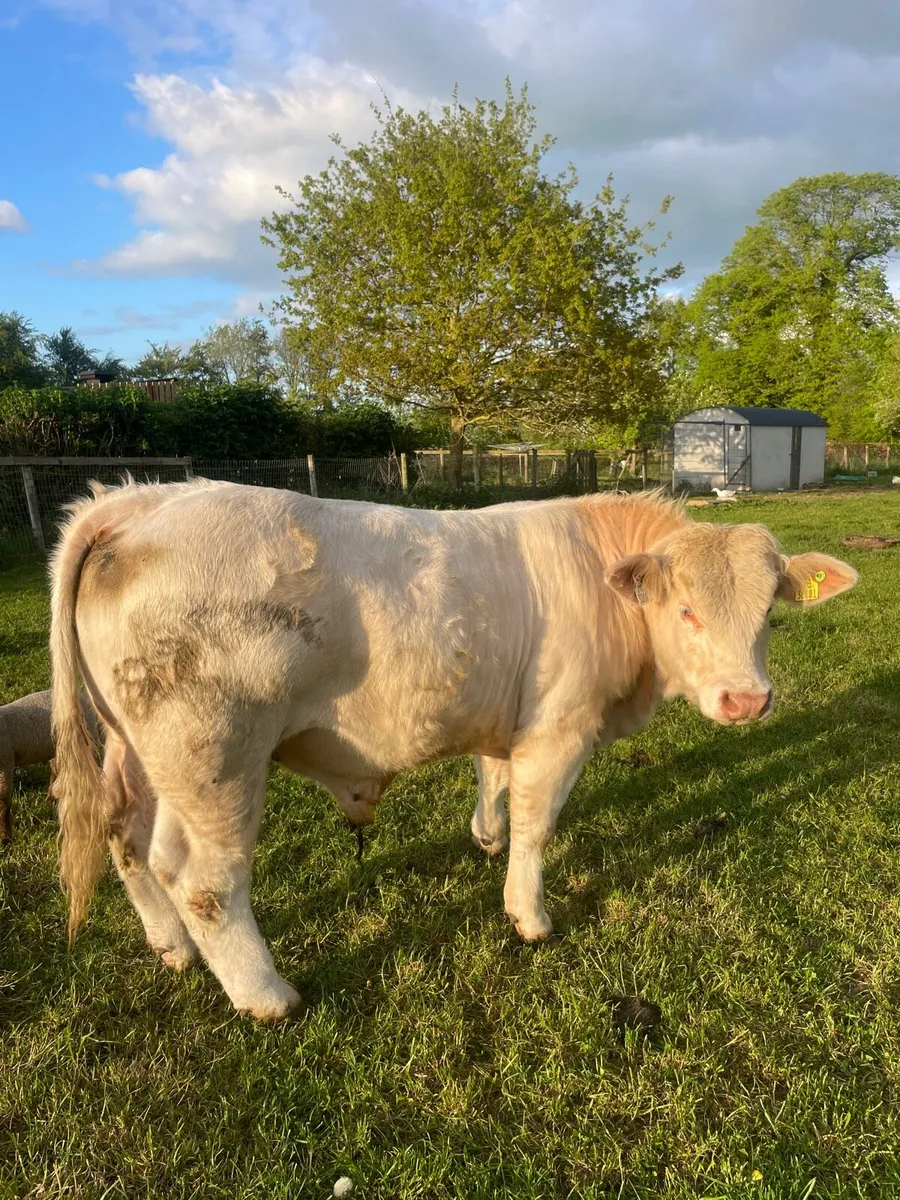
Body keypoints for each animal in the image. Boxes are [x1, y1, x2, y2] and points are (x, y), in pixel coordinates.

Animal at [49, 478, 857, 1020]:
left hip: (137, 750)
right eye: (686, 608)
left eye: (770, 610)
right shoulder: (560, 728)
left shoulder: (510, 715)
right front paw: (528, 914)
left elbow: (492, 777)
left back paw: (171, 946)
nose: (747, 700)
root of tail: (140, 502)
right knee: (203, 880)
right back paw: (268, 995)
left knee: (128, 838)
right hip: (214, 755)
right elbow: (538, 824)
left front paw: (485, 837)